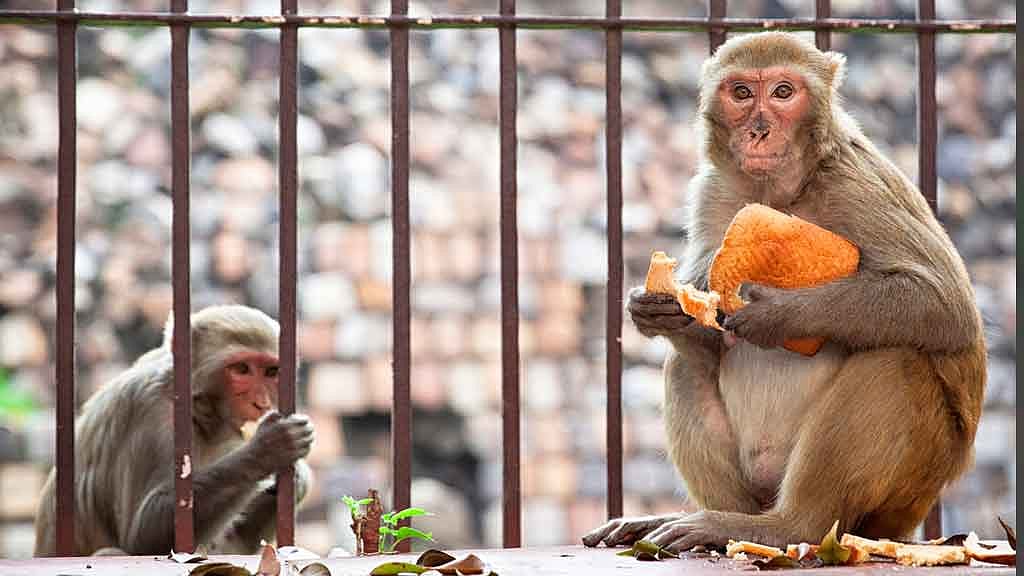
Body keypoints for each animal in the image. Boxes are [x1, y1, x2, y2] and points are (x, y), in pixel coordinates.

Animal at [34, 305, 315, 556]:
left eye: (272, 371)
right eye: (241, 369)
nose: (261, 403)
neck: (197, 410)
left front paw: (295, 479)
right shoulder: (151, 413)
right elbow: (142, 534)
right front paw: (267, 450)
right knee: (110, 552)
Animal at [583, 32, 986, 551]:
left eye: (782, 92)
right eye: (740, 93)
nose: (758, 130)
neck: (777, 195)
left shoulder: (856, 187)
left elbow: (943, 305)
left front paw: (777, 315)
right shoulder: (711, 191)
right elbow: (704, 333)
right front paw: (656, 310)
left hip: (911, 484)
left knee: (894, 359)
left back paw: (786, 527)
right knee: (686, 363)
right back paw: (720, 522)